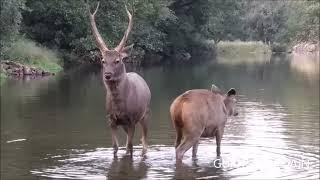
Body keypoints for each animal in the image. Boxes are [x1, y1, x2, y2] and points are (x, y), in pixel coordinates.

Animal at [86, 1, 151, 156]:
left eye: (117, 60)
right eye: (103, 60)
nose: (107, 75)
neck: (119, 106)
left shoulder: (132, 119)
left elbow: (130, 147)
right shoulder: (111, 120)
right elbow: (115, 147)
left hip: (145, 113)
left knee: (144, 141)